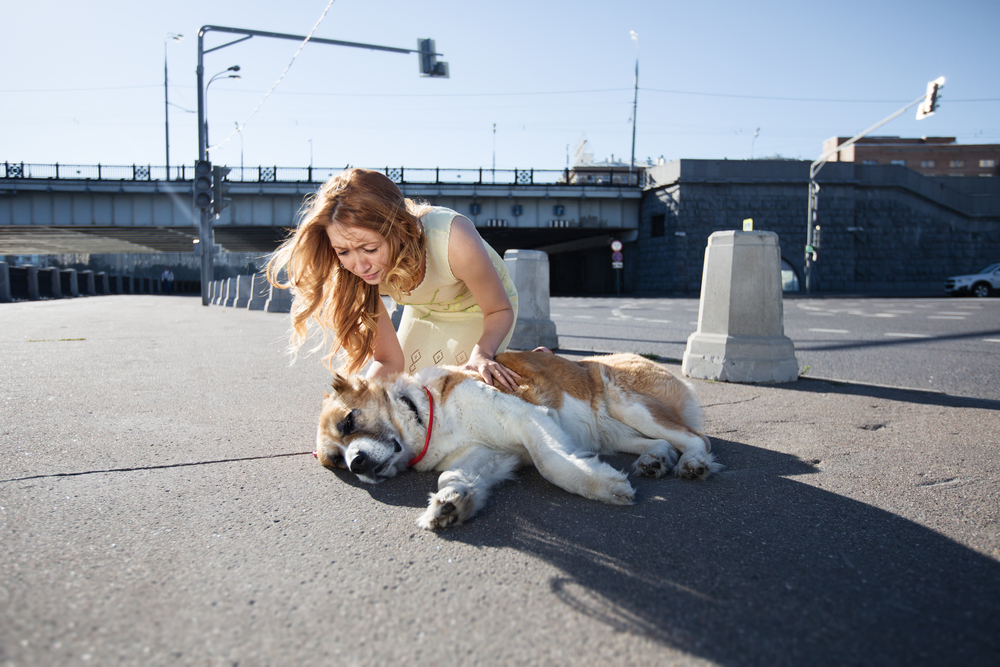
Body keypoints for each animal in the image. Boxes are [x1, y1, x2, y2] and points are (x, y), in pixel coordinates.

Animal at [316, 352, 716, 528]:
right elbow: (452, 476)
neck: (428, 415)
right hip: (610, 433)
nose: (356, 463)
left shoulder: (528, 418)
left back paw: (693, 463)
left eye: (349, 421)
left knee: (696, 438)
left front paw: (602, 487)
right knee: (659, 443)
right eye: (337, 461)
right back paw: (654, 460)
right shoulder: (489, 454)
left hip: (629, 404)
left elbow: (550, 463)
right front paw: (450, 502)